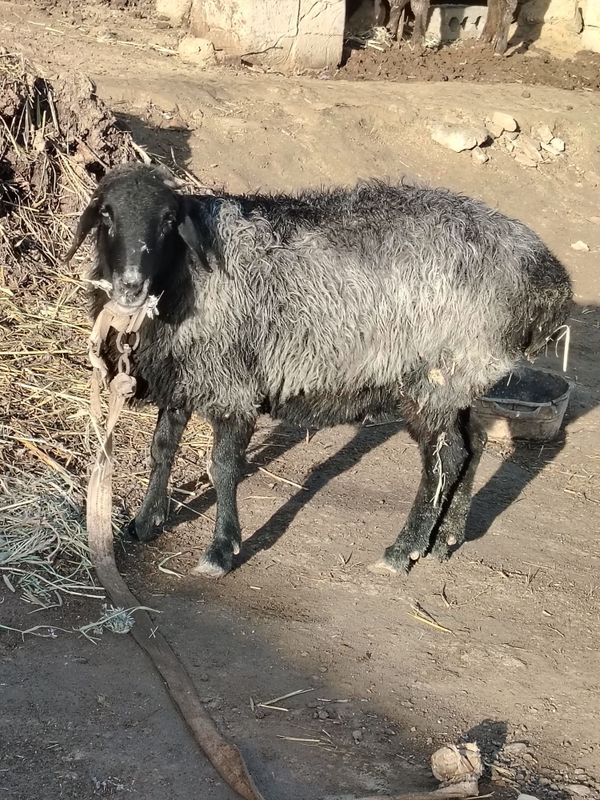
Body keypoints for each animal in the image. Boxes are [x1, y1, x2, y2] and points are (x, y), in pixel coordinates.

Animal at [65, 164, 572, 576]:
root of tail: (547, 278)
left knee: (444, 460)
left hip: (437, 377)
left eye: (169, 220)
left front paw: (221, 552)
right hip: (463, 378)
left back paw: (401, 551)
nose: (130, 285)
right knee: (474, 445)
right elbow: (162, 450)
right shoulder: (184, 377)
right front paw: (145, 522)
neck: (185, 275)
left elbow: (223, 467)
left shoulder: (232, 384)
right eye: (106, 214)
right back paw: (446, 541)